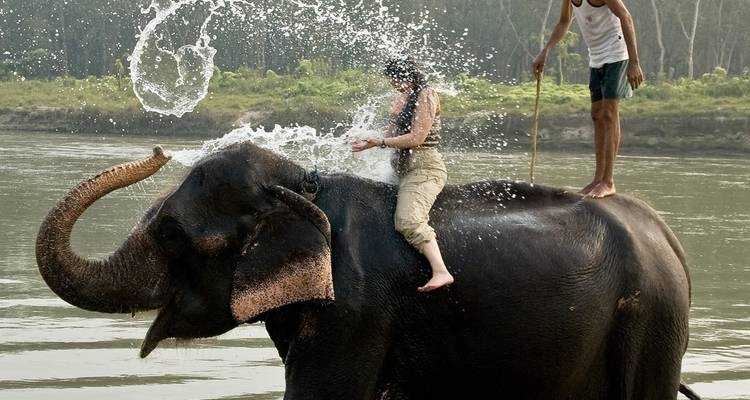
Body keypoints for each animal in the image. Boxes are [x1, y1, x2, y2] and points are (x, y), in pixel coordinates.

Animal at [36, 143, 701, 400]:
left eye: (173, 233)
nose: (158, 151)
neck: (304, 184)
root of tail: (666, 235)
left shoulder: (355, 312)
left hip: (652, 321)